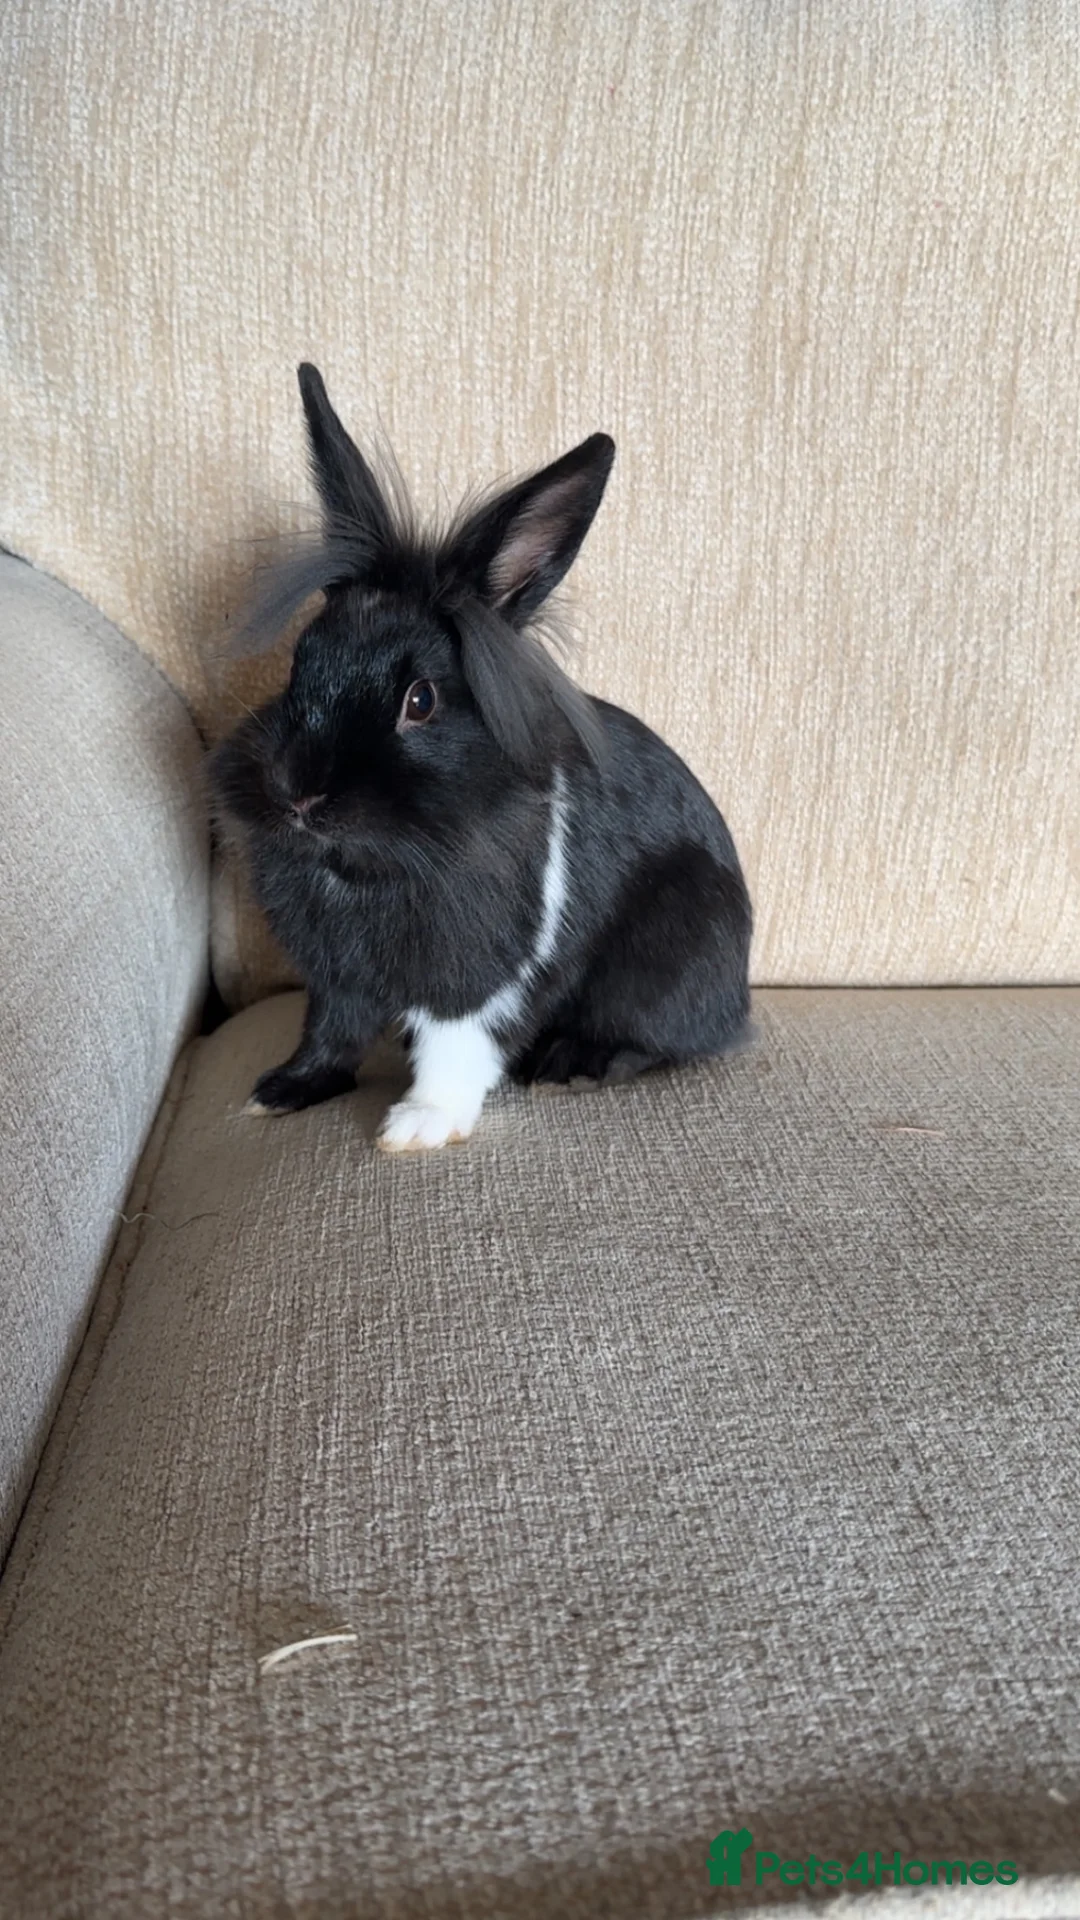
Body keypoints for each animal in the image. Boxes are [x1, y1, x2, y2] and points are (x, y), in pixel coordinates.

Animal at [209, 363, 752, 1152]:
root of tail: (741, 992)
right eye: (299, 662)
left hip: (672, 953)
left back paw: (572, 1065)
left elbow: (457, 1042)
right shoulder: (338, 976)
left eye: (421, 700)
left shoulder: (485, 974)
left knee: (660, 1040)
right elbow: (330, 1030)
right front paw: (282, 1090)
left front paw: (417, 1125)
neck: (366, 869)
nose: (299, 794)